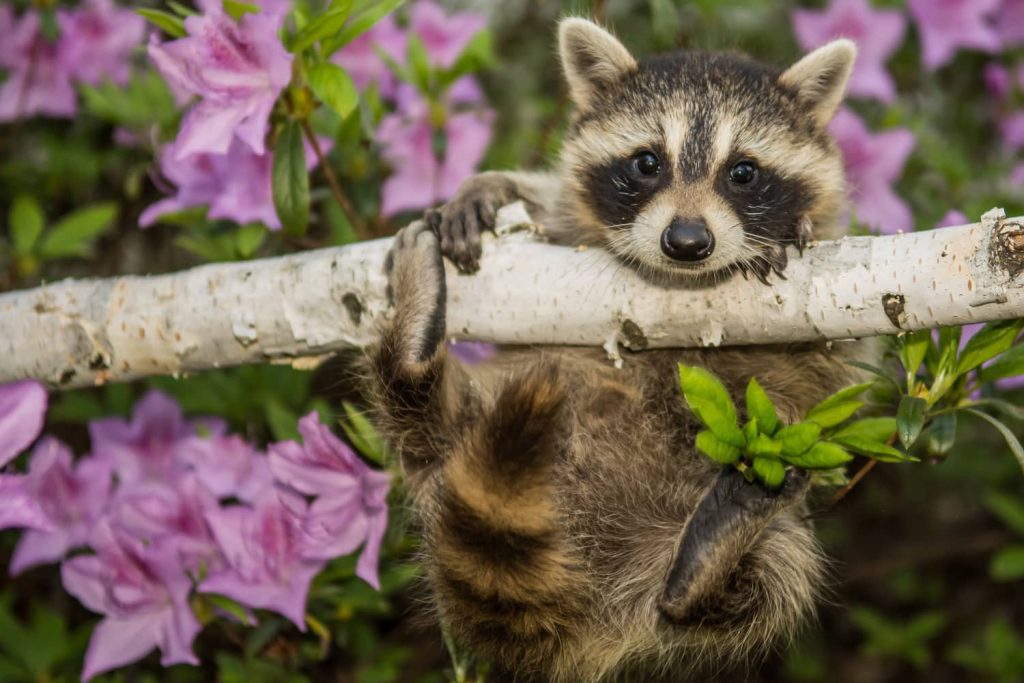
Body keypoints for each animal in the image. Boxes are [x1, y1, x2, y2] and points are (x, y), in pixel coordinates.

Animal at [368, 15, 864, 683]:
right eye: (647, 162)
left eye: (743, 172)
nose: (687, 241)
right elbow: (545, 202)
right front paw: (488, 186)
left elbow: (830, 358)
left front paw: (790, 232)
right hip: (458, 448)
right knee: (416, 418)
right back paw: (412, 352)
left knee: (767, 581)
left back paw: (704, 568)